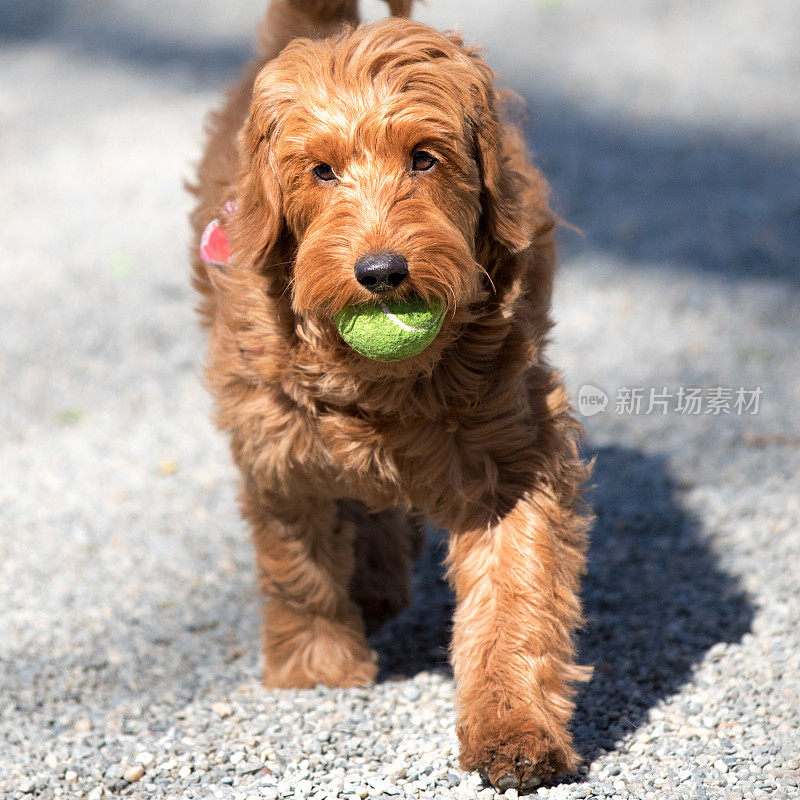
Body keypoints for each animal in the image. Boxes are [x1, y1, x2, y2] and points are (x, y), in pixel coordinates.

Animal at [189, 0, 592, 788]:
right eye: (320, 171)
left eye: (424, 158)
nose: (381, 272)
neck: (379, 384)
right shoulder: (273, 439)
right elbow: (294, 561)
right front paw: (315, 667)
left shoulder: (514, 449)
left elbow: (516, 593)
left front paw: (515, 729)